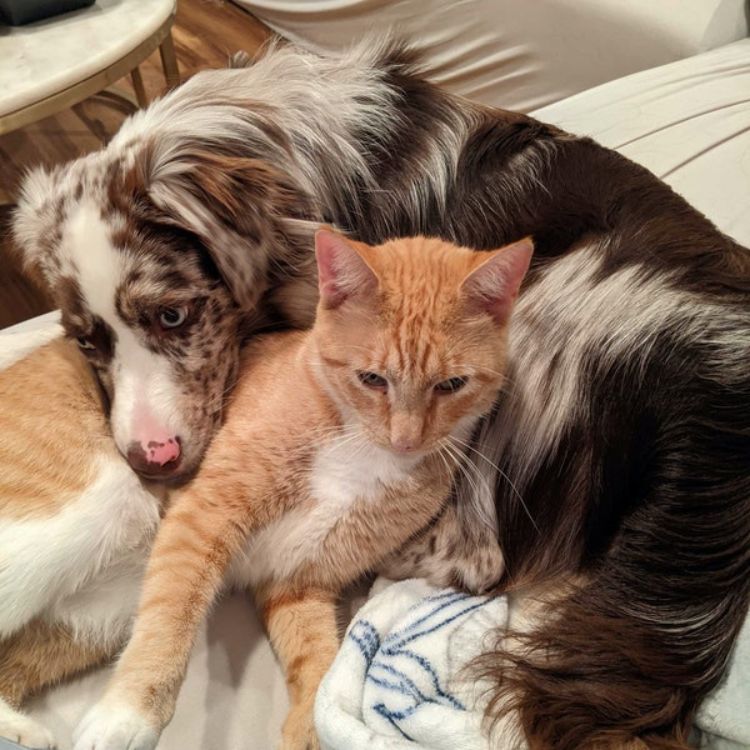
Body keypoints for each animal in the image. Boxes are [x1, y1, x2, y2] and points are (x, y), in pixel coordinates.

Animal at [72, 229, 536, 750]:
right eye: (372, 379)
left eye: (452, 384)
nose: (406, 440)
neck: (356, 444)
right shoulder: (202, 516)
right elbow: (169, 612)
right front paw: (128, 712)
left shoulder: (297, 582)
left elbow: (317, 658)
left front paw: (310, 729)